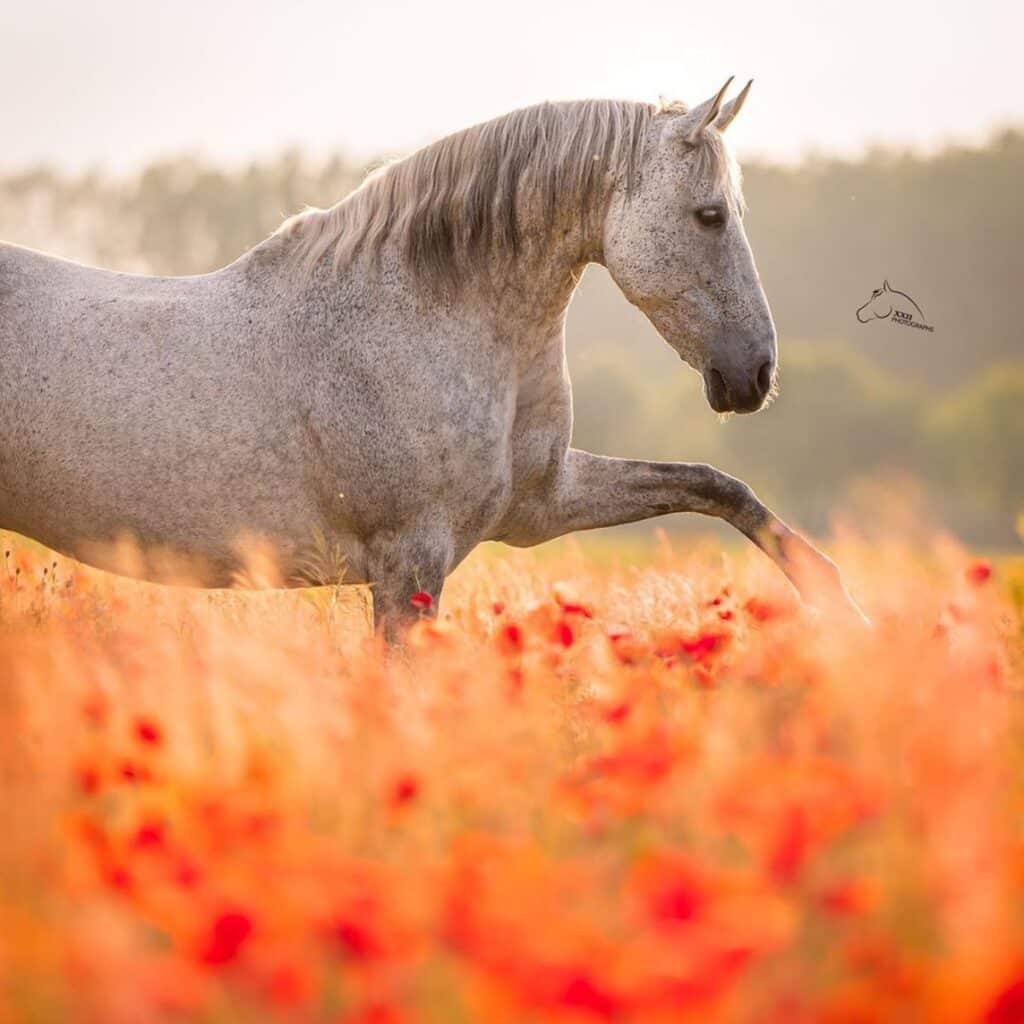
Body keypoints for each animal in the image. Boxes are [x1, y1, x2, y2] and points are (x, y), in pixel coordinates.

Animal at [0, 78, 863, 636]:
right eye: (709, 215)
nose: (754, 375)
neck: (423, 316)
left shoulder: (538, 507)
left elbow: (718, 488)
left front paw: (838, 605)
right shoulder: (410, 563)